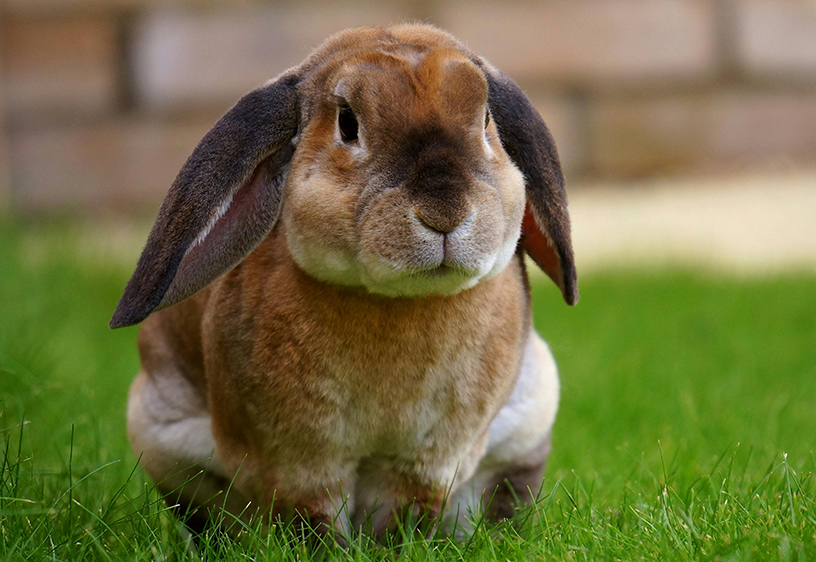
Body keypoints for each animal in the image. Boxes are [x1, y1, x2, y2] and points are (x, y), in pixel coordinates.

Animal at [111, 23, 578, 541]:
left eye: (486, 120)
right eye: (348, 124)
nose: (445, 212)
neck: (397, 302)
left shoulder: (426, 463)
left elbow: (405, 514)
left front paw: (394, 547)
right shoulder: (299, 462)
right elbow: (312, 518)